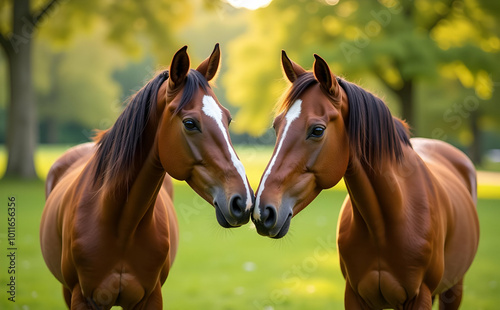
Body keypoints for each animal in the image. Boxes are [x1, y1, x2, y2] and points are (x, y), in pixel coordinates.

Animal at [40, 44, 254, 310]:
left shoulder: (151, 298)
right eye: (190, 123)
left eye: (228, 119)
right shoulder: (83, 298)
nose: (244, 201)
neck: (121, 226)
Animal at [254, 49, 480, 308]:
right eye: (276, 126)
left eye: (317, 130)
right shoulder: (354, 295)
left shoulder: (420, 296)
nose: (263, 211)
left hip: (454, 289)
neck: (385, 223)